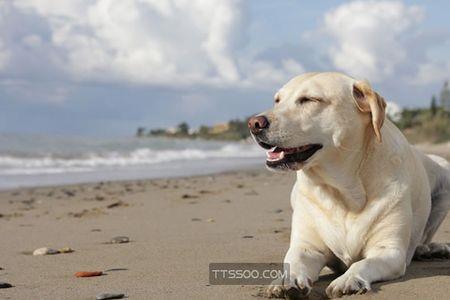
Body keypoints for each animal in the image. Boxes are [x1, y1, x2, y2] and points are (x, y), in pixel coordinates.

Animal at [248, 72, 450, 298]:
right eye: (277, 100)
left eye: (309, 99)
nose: (254, 123)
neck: (342, 190)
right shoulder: (307, 247)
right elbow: (294, 261)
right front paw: (285, 280)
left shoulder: (390, 251)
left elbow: (362, 264)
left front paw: (348, 279)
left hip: (445, 170)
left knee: (424, 237)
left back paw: (429, 249)